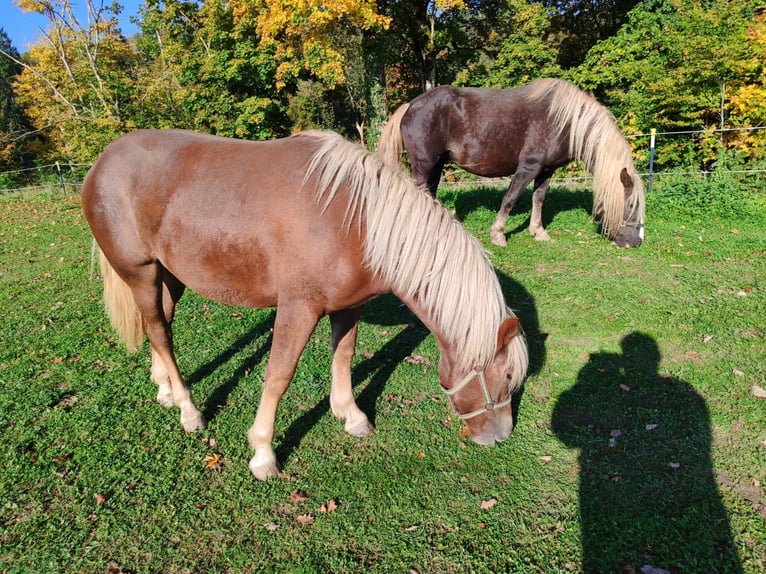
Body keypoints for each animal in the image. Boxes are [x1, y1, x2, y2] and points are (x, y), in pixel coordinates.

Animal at [81, 129, 529, 480]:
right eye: (507, 376)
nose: (500, 436)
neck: (358, 221)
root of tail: (102, 163)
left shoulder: (349, 307)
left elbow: (344, 356)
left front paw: (351, 415)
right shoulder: (299, 308)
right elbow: (279, 375)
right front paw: (263, 452)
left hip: (169, 275)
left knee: (160, 325)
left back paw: (166, 389)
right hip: (139, 273)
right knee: (159, 331)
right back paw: (189, 410)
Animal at [377, 78, 645, 248]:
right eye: (631, 205)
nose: (636, 242)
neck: (565, 123)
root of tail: (410, 106)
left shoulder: (546, 171)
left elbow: (539, 199)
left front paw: (538, 232)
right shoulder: (528, 167)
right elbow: (511, 198)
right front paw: (498, 235)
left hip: (436, 166)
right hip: (423, 166)